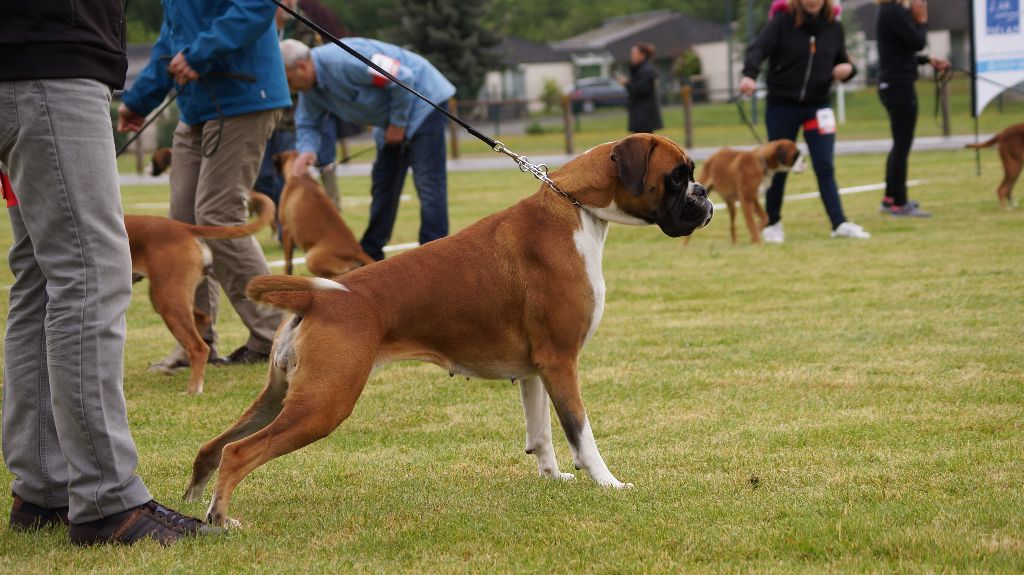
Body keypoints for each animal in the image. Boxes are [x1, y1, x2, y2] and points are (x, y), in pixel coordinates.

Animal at [124, 190, 276, 390]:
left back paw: (193, 389)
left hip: (168, 300)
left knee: (199, 347)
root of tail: (183, 228)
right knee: (204, 319)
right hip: (168, 296)